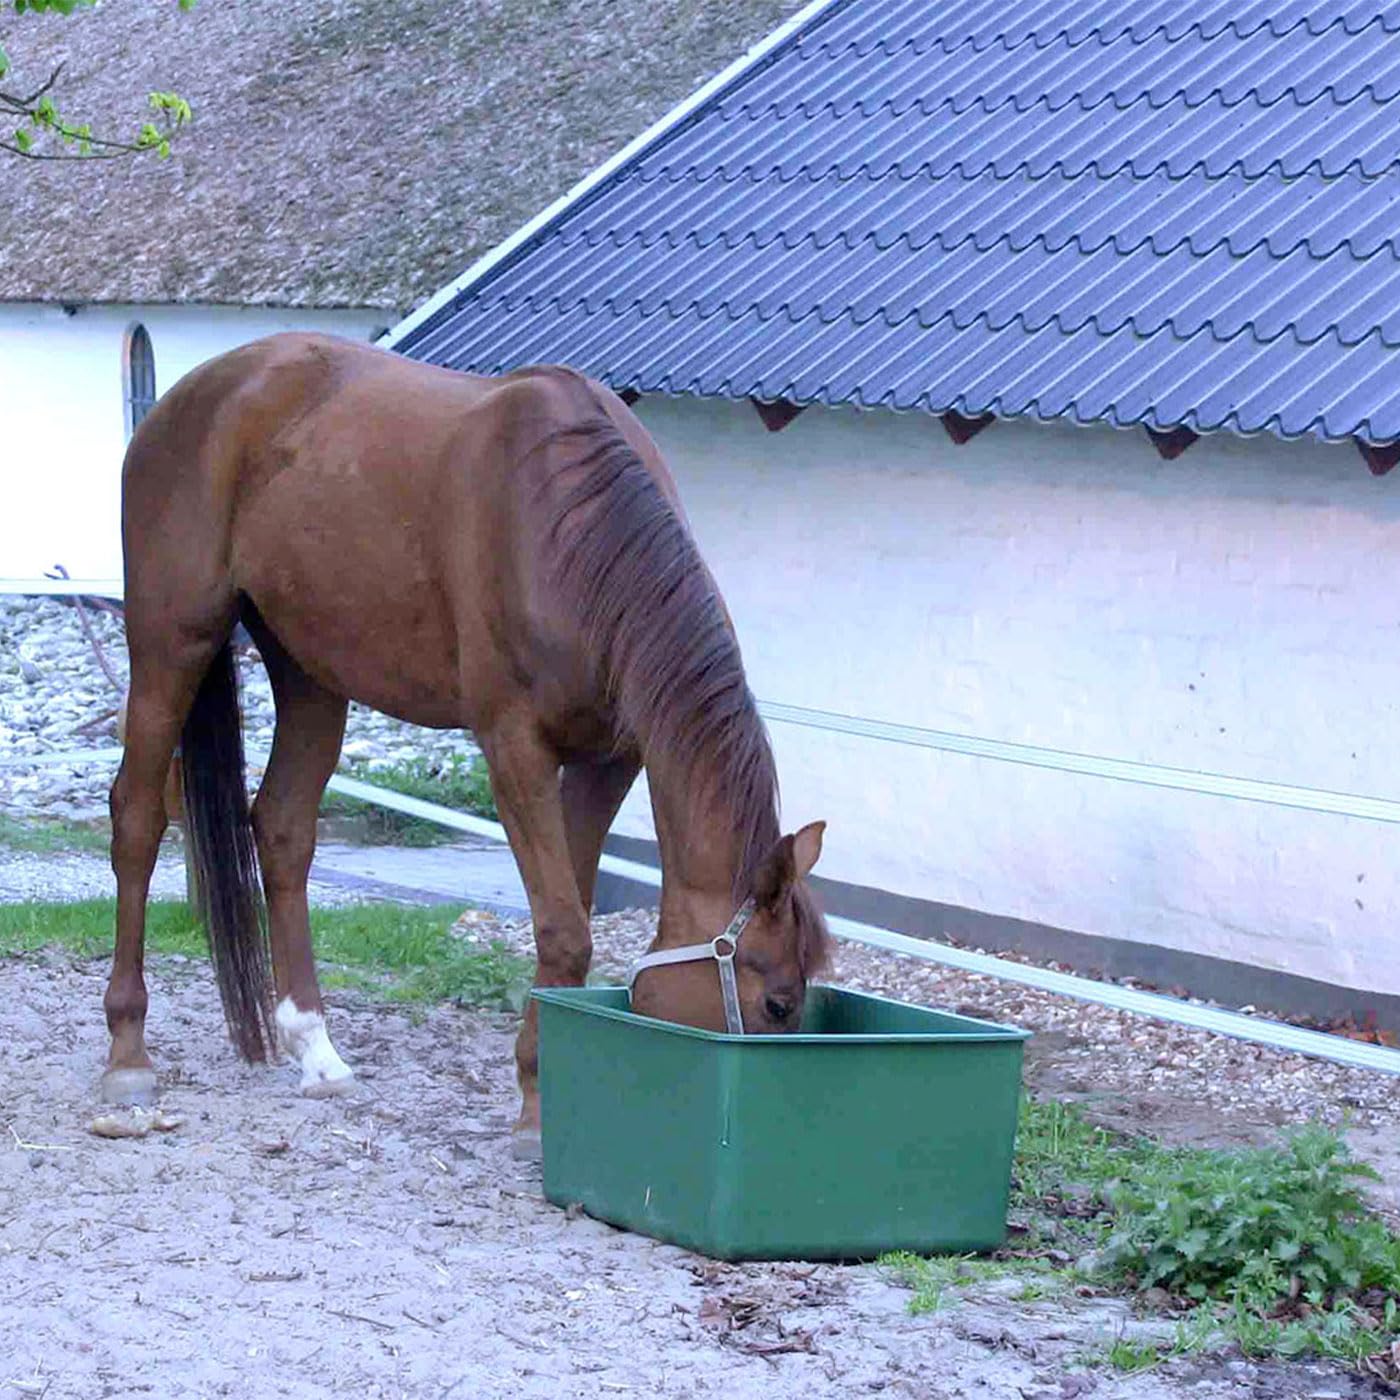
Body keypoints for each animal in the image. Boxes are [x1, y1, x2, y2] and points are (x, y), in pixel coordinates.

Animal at [107, 332, 829, 1154]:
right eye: (776, 1003)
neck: (574, 535)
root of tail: (194, 392)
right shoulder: (514, 746)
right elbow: (563, 928)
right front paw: (537, 1107)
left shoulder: (609, 757)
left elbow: (572, 908)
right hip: (171, 641)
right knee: (136, 818)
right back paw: (127, 1054)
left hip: (311, 672)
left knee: (283, 828)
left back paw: (316, 1048)